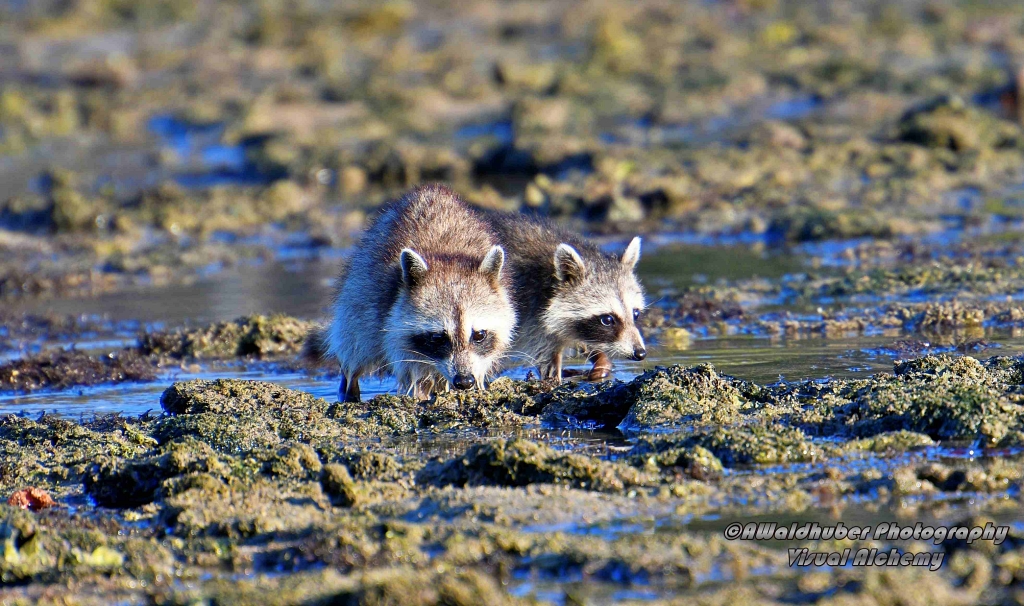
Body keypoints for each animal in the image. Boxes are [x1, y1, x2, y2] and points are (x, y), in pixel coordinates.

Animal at [311, 184, 516, 403]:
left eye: (479, 335)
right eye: (438, 337)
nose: (464, 381)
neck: (447, 258)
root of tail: (431, 189)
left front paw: (476, 385)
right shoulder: (392, 325)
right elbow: (413, 371)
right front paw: (421, 396)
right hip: (358, 295)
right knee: (354, 348)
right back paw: (349, 390)